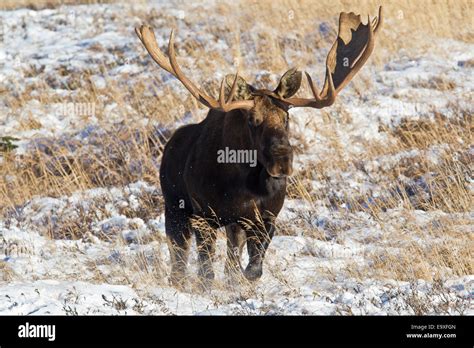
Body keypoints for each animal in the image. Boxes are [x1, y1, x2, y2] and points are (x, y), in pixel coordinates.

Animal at [135, 6, 384, 286]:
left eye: (287, 118)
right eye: (252, 120)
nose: (282, 160)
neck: (243, 186)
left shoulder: (265, 217)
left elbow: (253, 267)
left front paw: (240, 281)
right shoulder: (203, 216)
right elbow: (206, 270)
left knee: (230, 254)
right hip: (174, 206)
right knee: (179, 258)